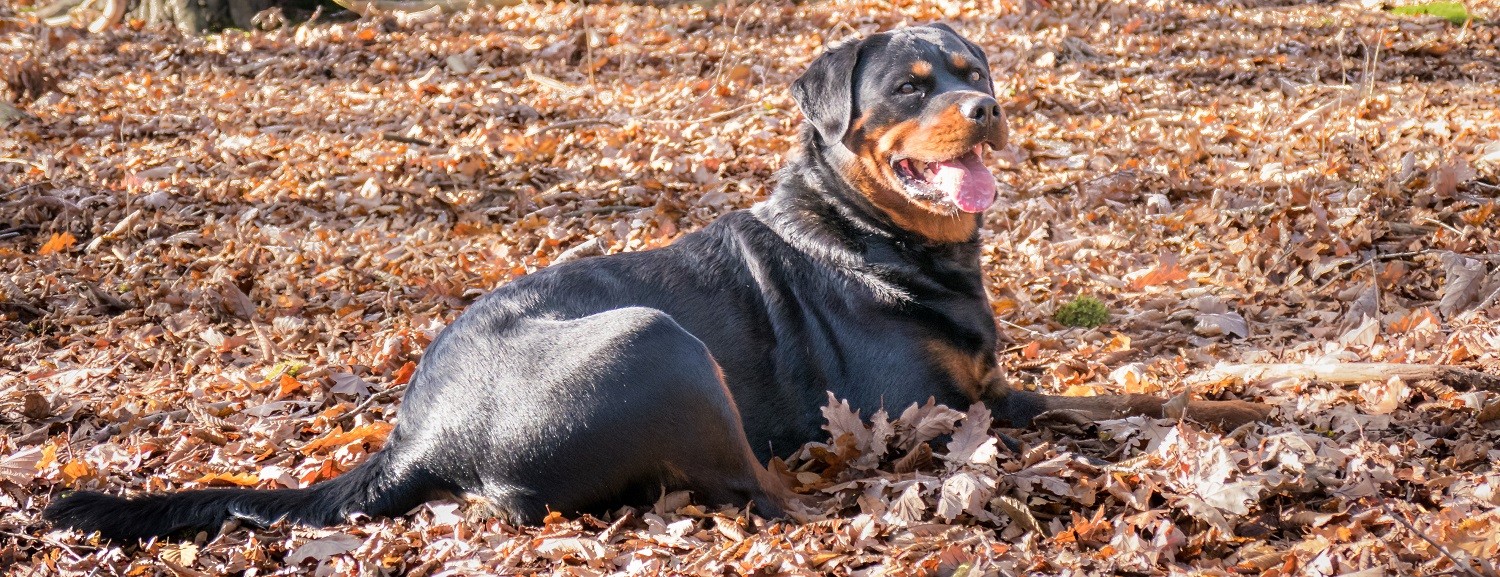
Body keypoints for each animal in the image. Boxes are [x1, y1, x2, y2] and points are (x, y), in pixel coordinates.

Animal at [43, 24, 1266, 539]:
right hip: (657, 338)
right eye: (914, 84)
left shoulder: (993, 385)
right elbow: (1085, 411)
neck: (880, 233)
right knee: (756, 489)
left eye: (975, 73)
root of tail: (421, 436)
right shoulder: (929, 403)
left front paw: (1246, 396)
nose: (987, 108)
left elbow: (1134, 392)